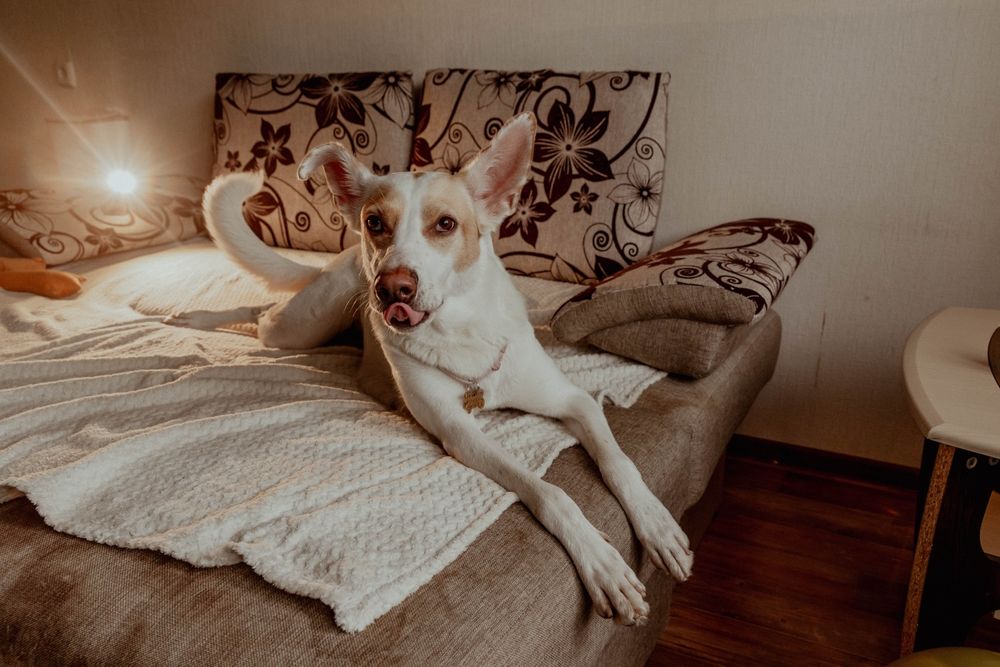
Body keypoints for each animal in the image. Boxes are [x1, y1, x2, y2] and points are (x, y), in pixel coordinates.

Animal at [184, 115, 692, 628]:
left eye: (445, 224)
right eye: (375, 223)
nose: (391, 289)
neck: (461, 331)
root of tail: (342, 257)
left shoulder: (575, 401)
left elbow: (620, 463)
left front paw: (656, 524)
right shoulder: (459, 431)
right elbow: (550, 492)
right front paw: (601, 561)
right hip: (305, 326)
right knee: (260, 313)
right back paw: (192, 318)